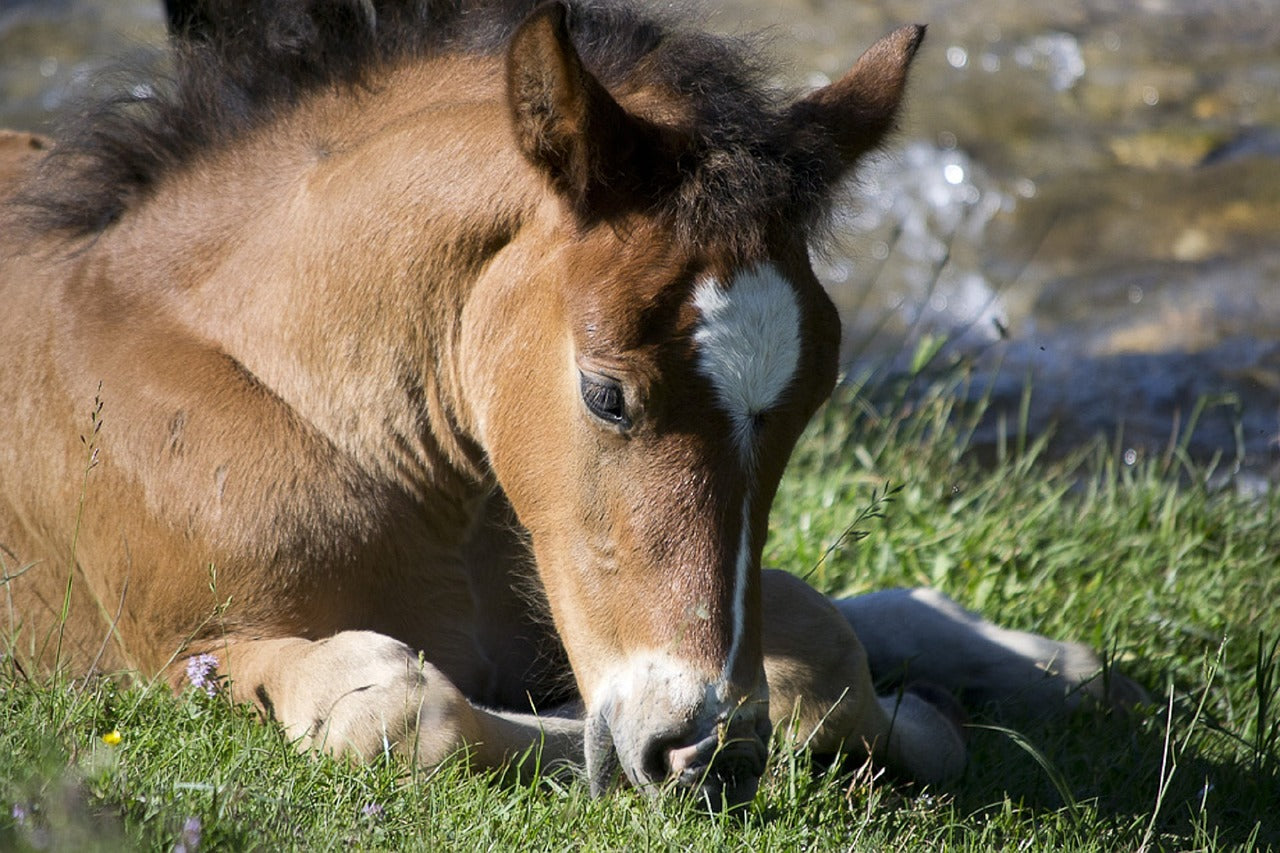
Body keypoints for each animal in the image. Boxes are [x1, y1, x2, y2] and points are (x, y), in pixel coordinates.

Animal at [0, 0, 1143, 809]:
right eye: (605, 394)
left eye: (813, 399)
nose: (707, 751)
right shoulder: (177, 651)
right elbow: (403, 712)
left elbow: (815, 631)